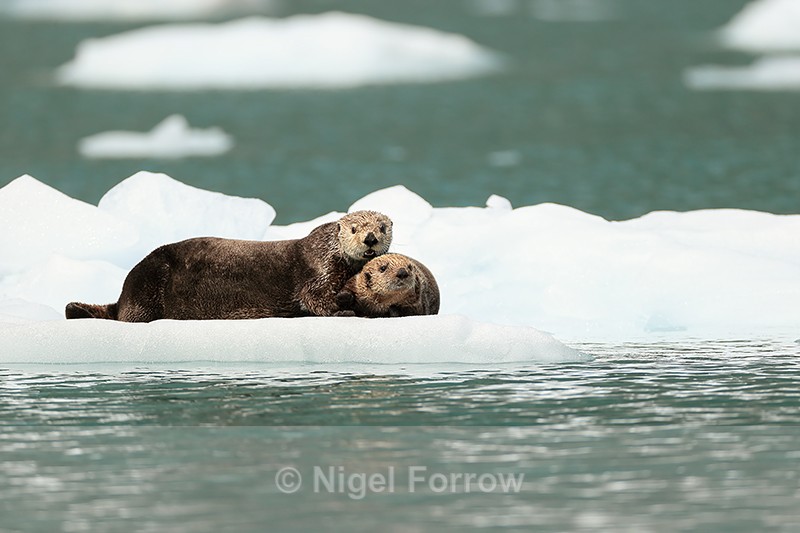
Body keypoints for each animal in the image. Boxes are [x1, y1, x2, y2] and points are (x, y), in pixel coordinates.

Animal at [65, 210, 392, 322]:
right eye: (354, 229)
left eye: (382, 227)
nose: (371, 239)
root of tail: (122, 298)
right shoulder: (317, 270)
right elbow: (312, 298)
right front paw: (344, 306)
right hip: (149, 281)